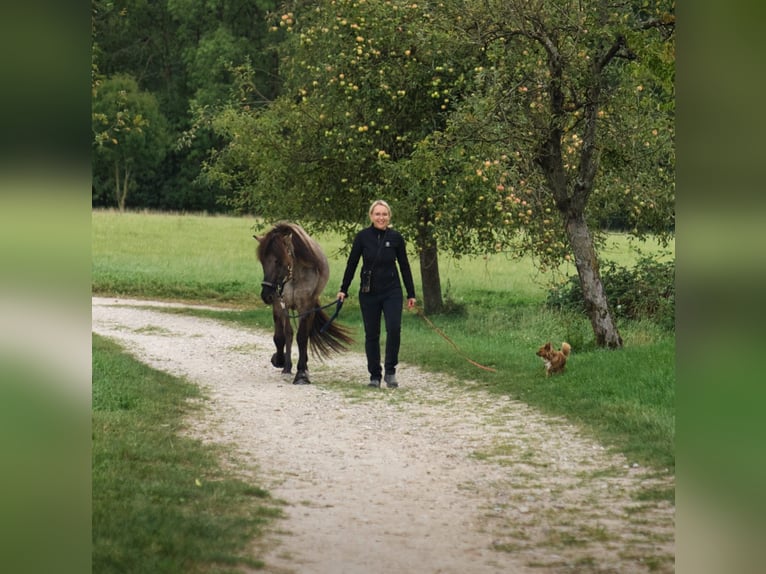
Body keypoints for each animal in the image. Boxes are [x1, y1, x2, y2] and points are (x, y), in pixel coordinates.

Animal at [255, 222, 353, 384]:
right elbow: (281, 336)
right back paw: (287, 367)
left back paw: (303, 365)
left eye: (278, 261)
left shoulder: (305, 306)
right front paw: (280, 361)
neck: (295, 276)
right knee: (287, 334)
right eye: (262, 261)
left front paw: (301, 373)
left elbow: (302, 337)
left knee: (305, 333)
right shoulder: (280, 305)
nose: (266, 295)